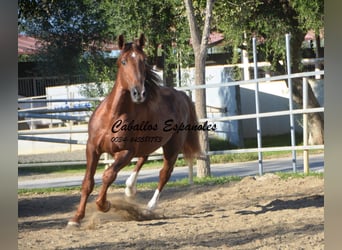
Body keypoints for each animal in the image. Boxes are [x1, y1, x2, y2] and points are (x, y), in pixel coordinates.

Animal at [68, 33, 202, 227]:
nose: (139, 93)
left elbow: (108, 175)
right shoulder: (92, 148)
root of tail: (182, 95)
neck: (113, 115)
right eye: (123, 61)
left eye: (143, 60)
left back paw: (148, 208)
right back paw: (130, 188)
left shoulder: (126, 151)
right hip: (148, 142)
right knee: (143, 158)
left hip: (172, 146)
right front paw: (76, 218)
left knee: (164, 173)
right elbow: (88, 182)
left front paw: (104, 205)